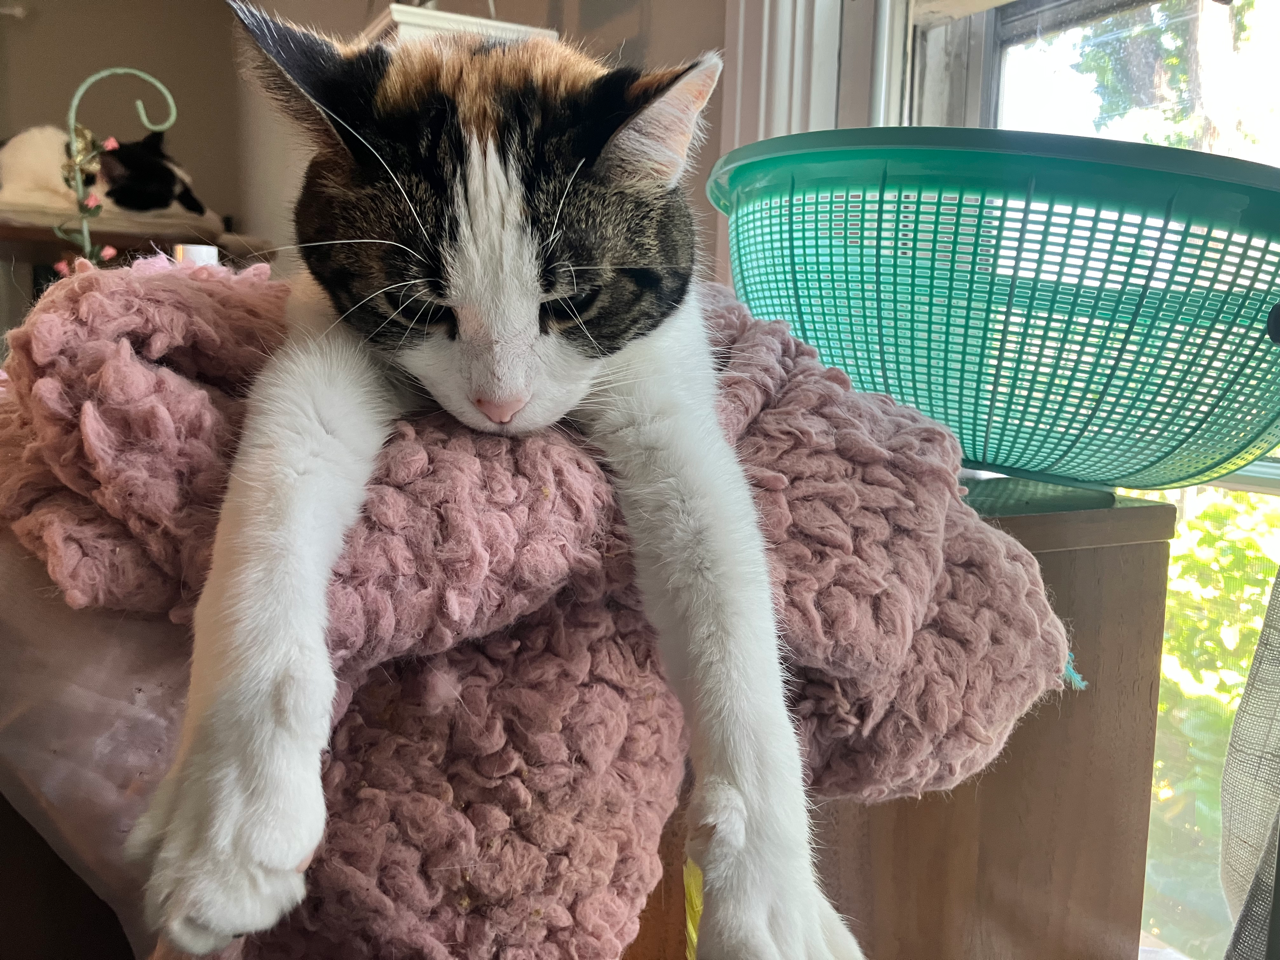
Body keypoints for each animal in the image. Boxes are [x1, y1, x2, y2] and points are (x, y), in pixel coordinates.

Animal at [125, 4, 866, 958]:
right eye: (417, 307)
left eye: (572, 303)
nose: (501, 406)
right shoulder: (326, 339)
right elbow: (283, 478)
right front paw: (228, 815)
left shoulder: (664, 392)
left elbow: (723, 585)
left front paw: (772, 897)